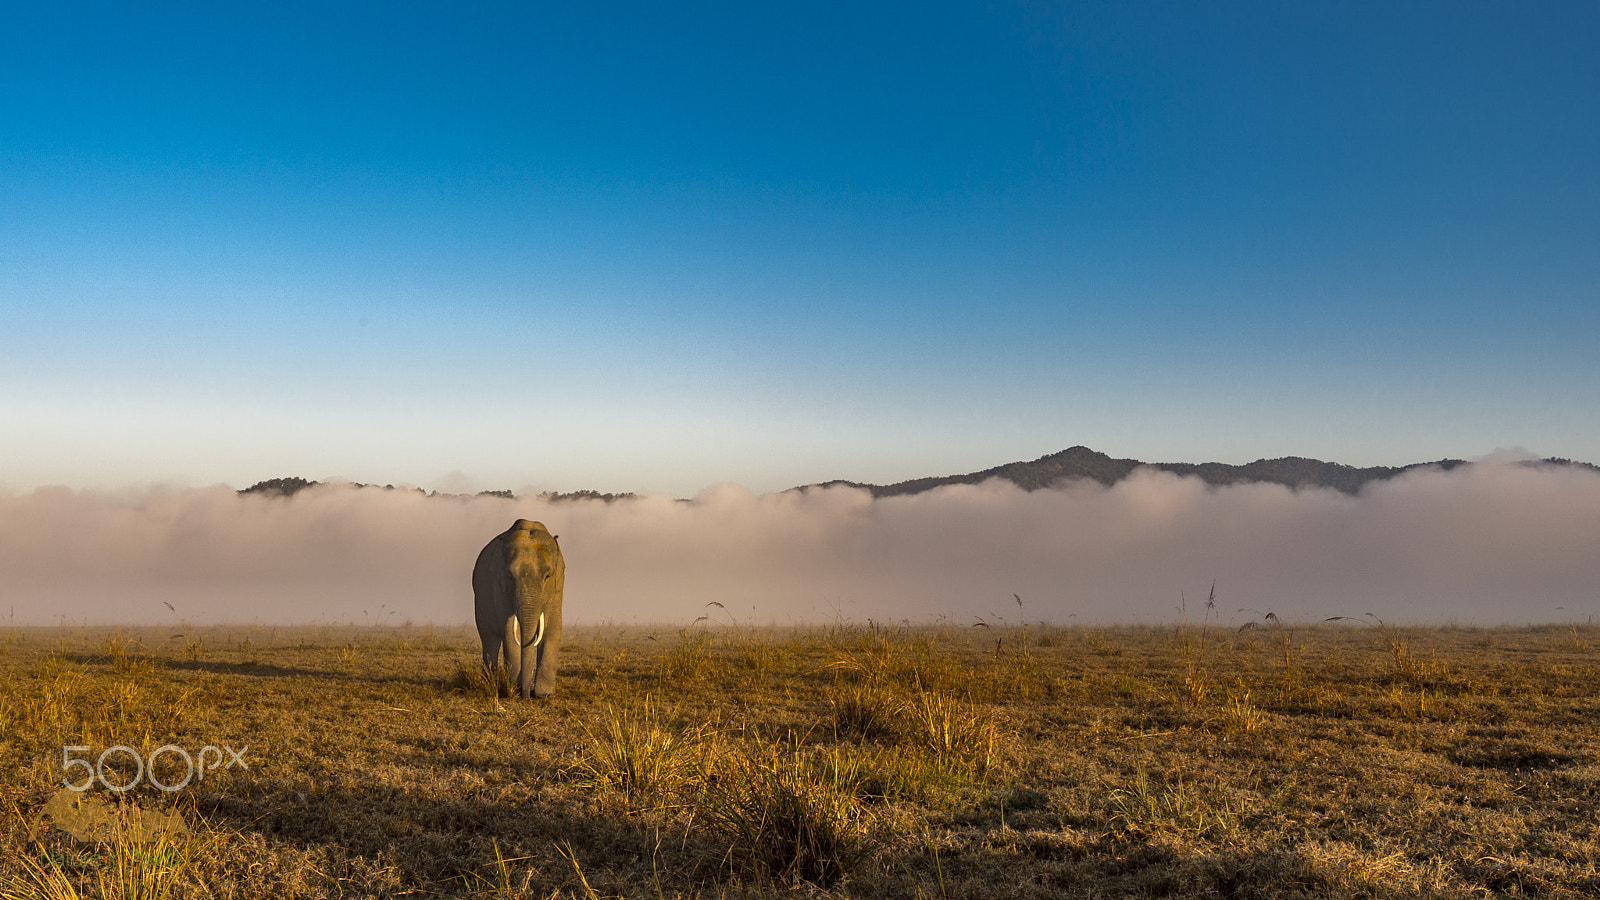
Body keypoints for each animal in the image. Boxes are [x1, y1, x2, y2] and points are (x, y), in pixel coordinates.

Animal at [470, 515, 566, 698]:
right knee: (489, 638)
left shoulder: (558, 585)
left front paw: (544, 695)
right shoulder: (499, 585)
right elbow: (510, 631)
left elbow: (553, 628)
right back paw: (491, 681)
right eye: (509, 576)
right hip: (480, 601)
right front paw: (514, 686)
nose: (526, 696)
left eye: (547, 576)